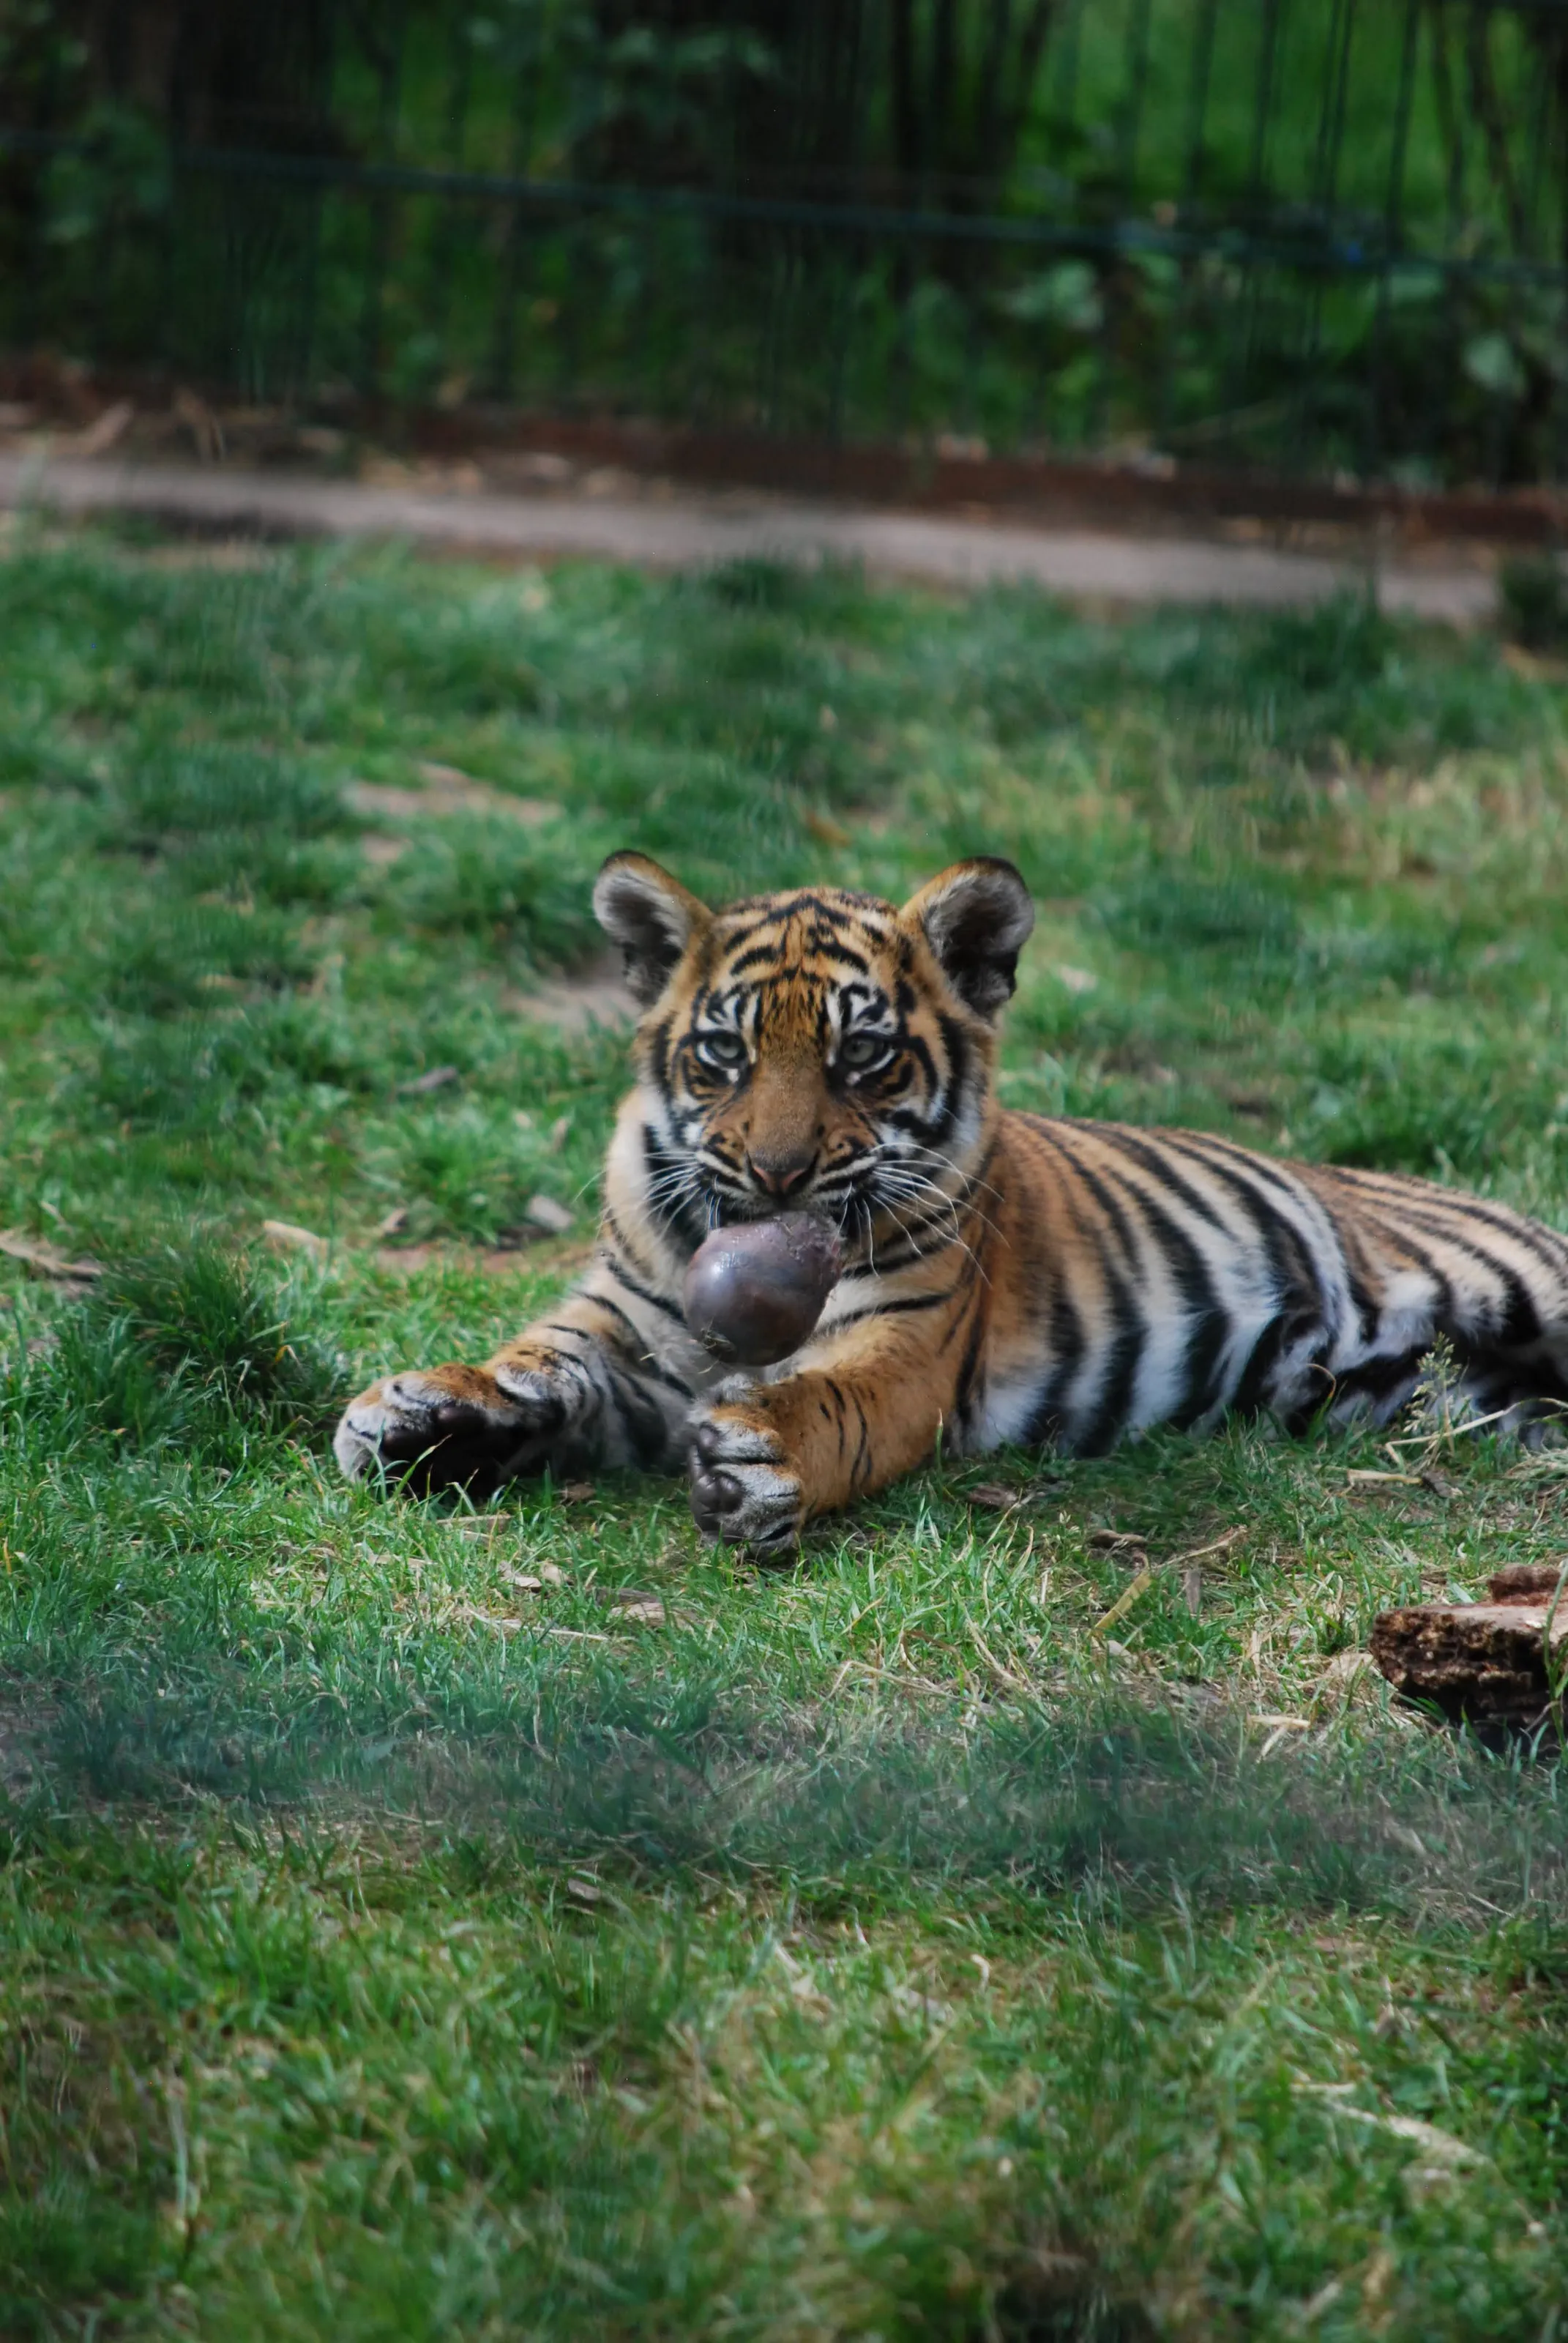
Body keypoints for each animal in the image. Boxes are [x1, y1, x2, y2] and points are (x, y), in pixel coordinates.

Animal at [334, 852, 1568, 1549]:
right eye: (725, 1055)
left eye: (861, 1060)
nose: (776, 1175)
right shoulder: (624, 1329)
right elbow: (531, 1358)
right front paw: (425, 1411)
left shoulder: (907, 1347)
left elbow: (826, 1404)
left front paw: (758, 1461)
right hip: (1452, 1408)